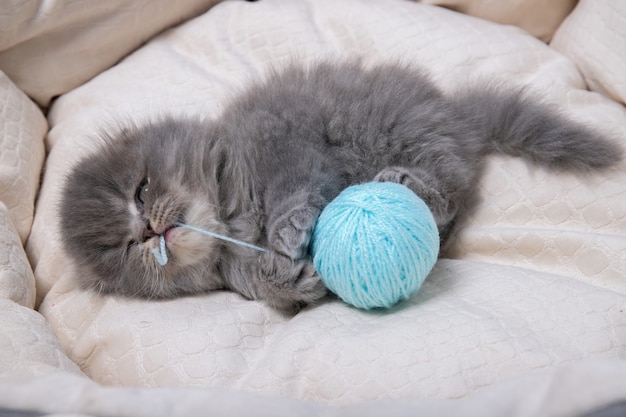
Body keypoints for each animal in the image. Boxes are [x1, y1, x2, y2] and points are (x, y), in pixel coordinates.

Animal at [59, 61, 620, 308]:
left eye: (141, 191)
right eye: (122, 249)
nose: (149, 232)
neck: (225, 204)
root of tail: (457, 118)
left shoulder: (286, 145)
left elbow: (292, 193)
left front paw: (286, 236)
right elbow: (260, 285)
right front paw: (289, 280)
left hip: (393, 132)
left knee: (446, 193)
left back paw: (400, 180)